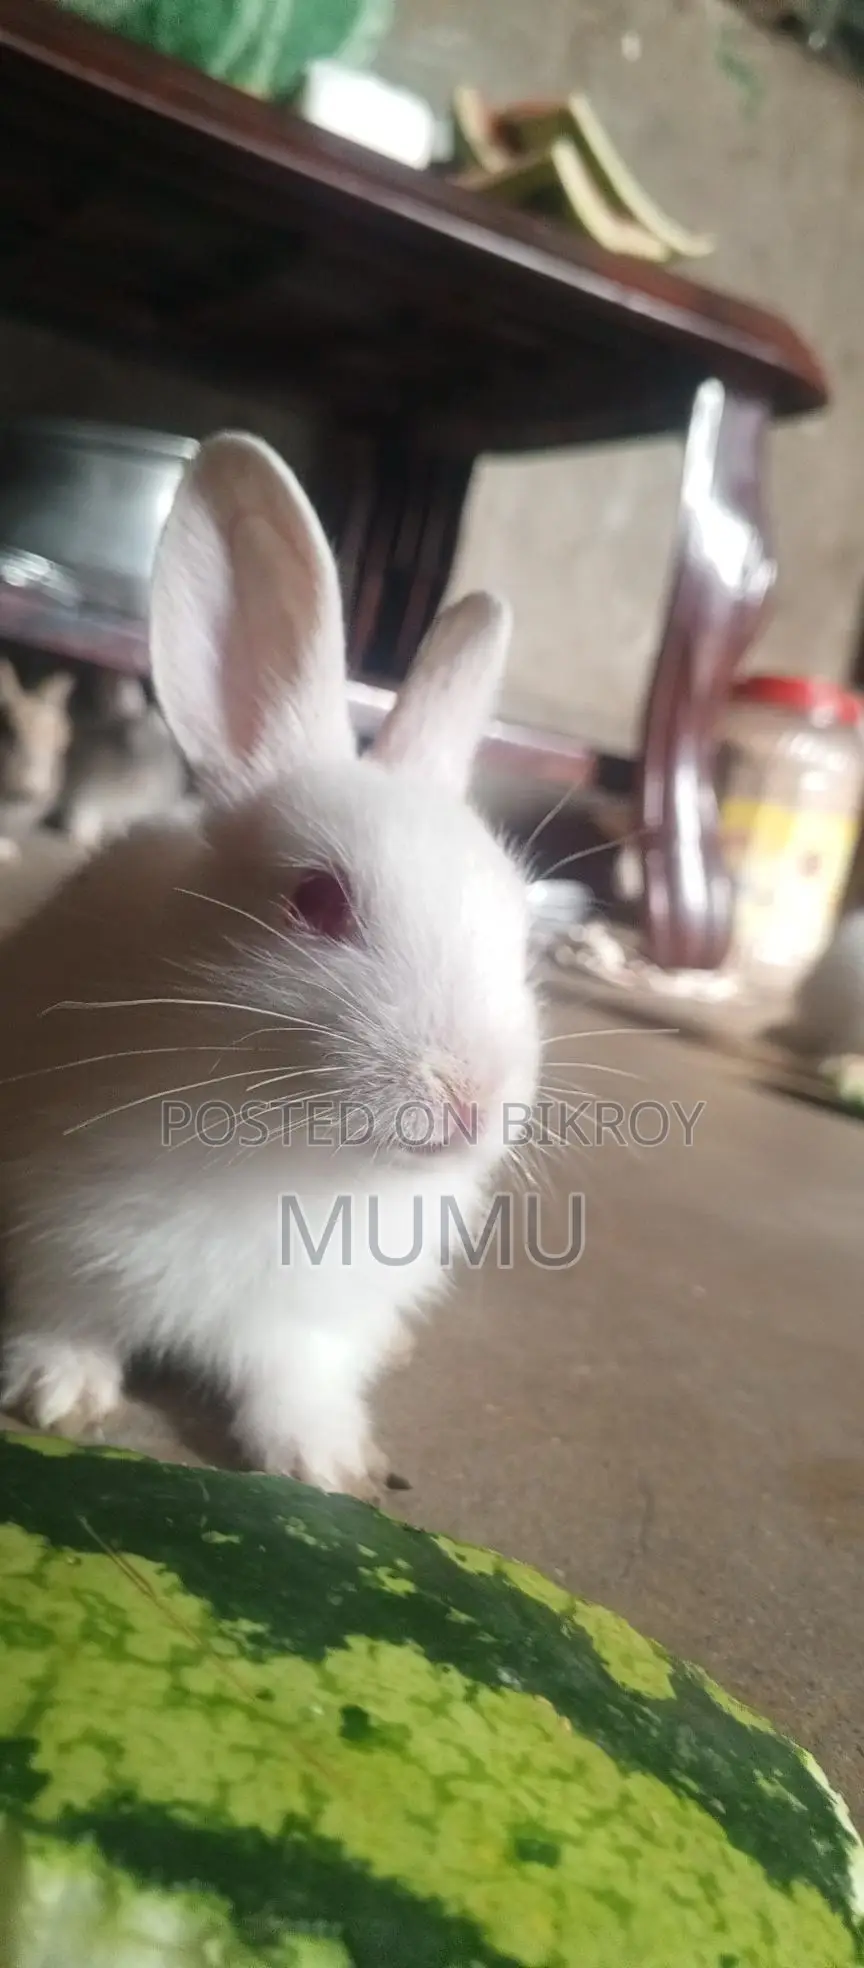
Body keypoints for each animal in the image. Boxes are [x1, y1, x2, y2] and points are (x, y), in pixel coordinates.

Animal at [56, 668, 192, 852]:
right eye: (161, 728)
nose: (180, 789)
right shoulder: (85, 794)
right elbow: (84, 817)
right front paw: (88, 843)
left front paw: (116, 833)